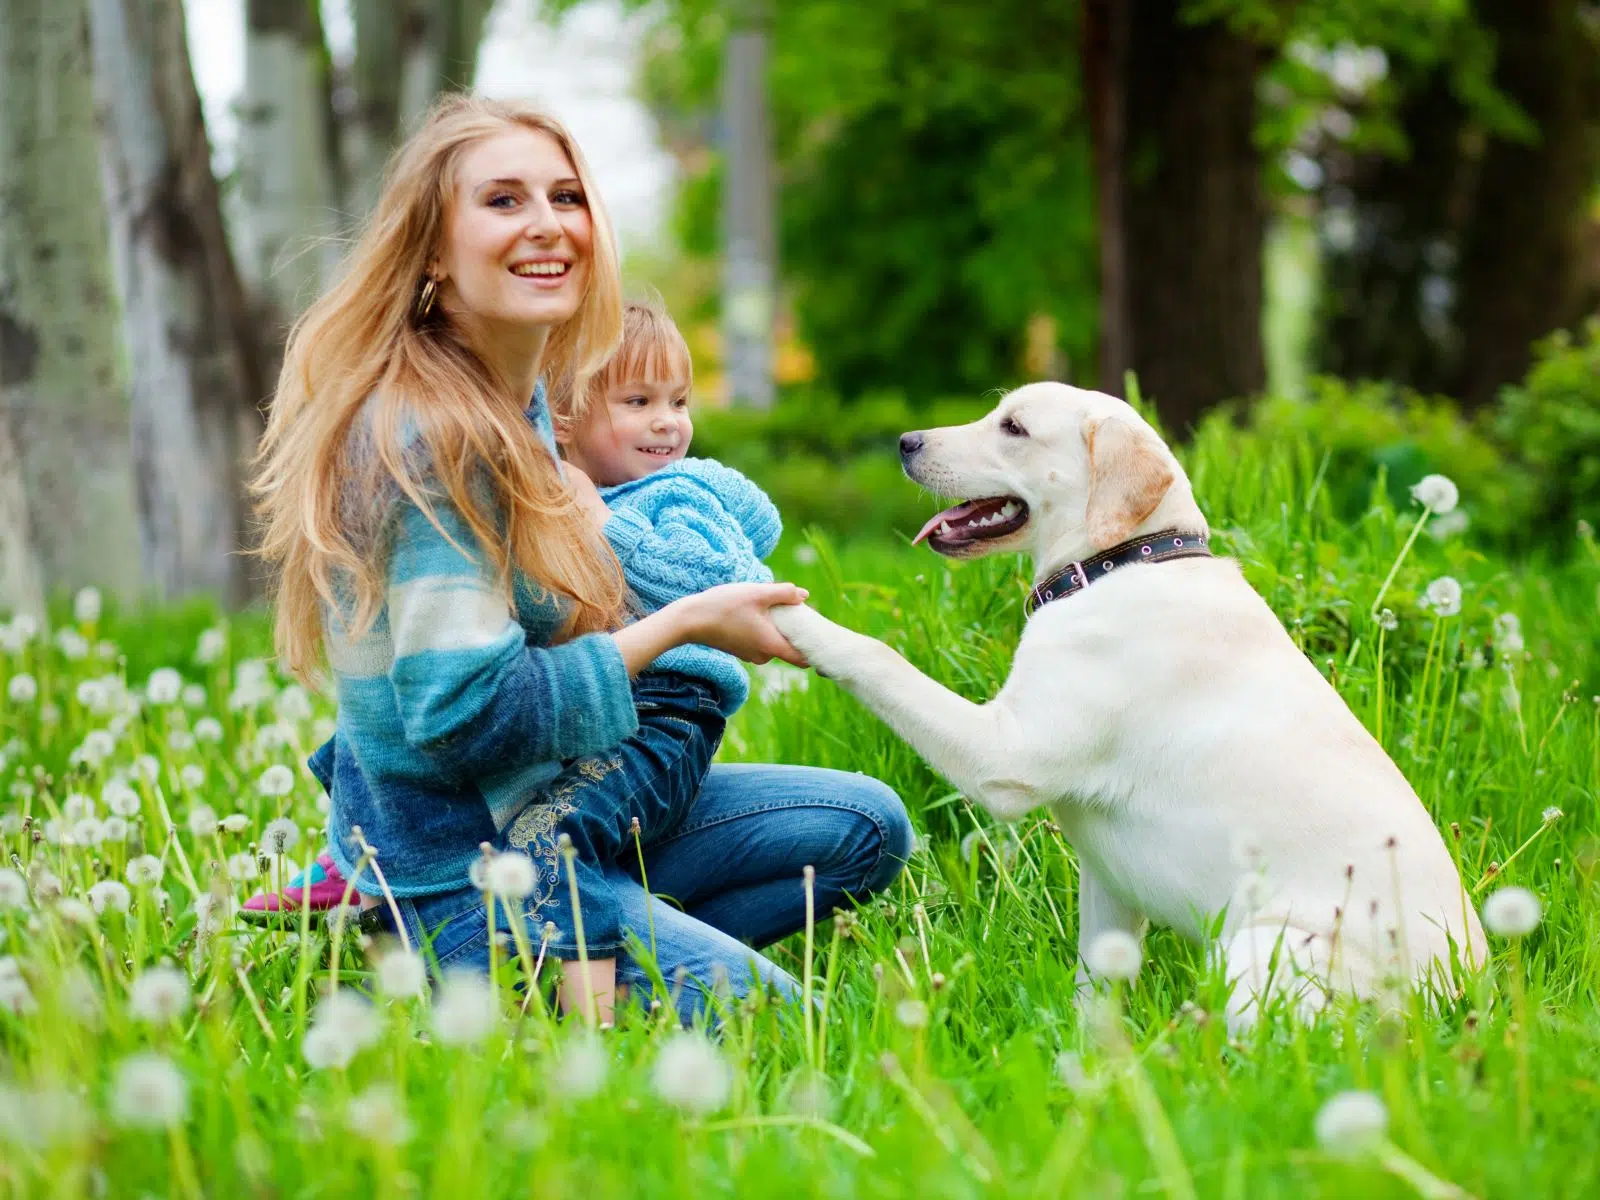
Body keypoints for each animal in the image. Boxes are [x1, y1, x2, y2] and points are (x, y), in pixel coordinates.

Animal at [774, 382, 1484, 1024]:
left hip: (1260, 951)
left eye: (1014, 428)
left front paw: (792, 618)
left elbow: (879, 657)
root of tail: (1465, 997)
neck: (1122, 564)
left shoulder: (1002, 758)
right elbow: (1095, 992)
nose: (905, 442)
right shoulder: (1107, 885)